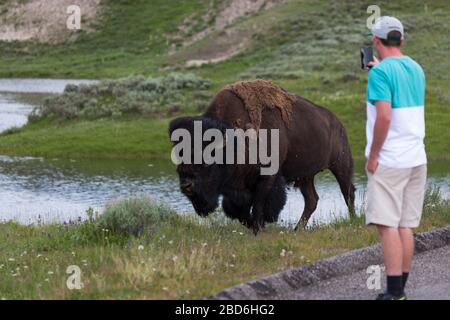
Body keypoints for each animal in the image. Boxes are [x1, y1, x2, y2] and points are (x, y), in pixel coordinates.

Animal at [170, 80, 356, 234]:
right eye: (179, 163)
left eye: (206, 163)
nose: (186, 186)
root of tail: (337, 123)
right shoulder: (237, 187)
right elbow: (239, 211)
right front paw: (255, 226)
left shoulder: (267, 178)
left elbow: (258, 205)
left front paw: (258, 228)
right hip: (305, 177)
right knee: (312, 200)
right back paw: (297, 229)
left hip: (340, 164)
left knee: (348, 192)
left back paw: (354, 220)